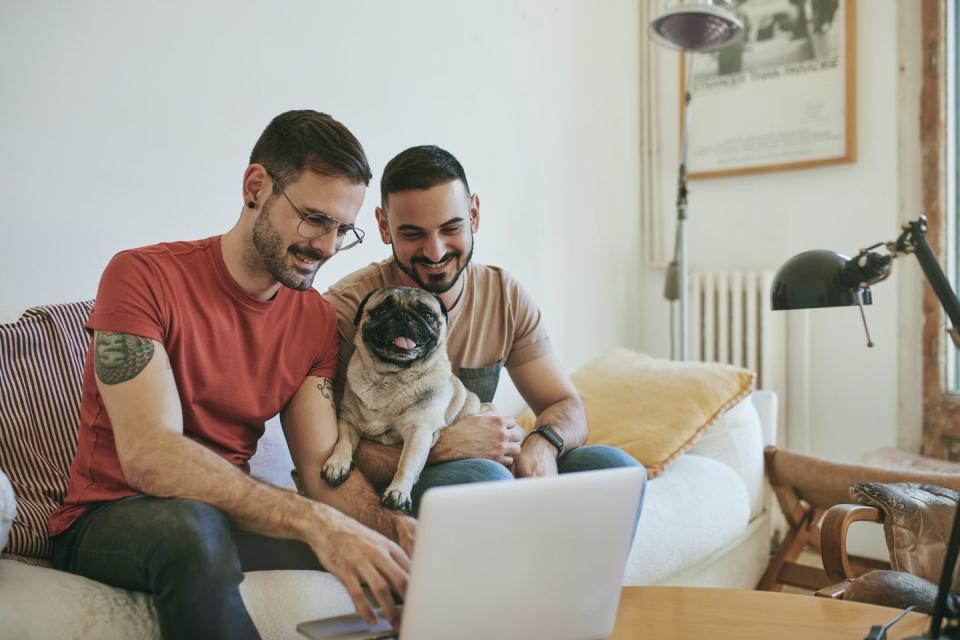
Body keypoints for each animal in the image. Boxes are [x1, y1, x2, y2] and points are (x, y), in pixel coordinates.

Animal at [322, 288, 492, 512]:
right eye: (382, 309)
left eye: (427, 314)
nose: (403, 316)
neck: (389, 377)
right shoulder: (348, 421)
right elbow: (343, 443)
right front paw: (337, 463)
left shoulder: (418, 432)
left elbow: (406, 464)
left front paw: (398, 492)